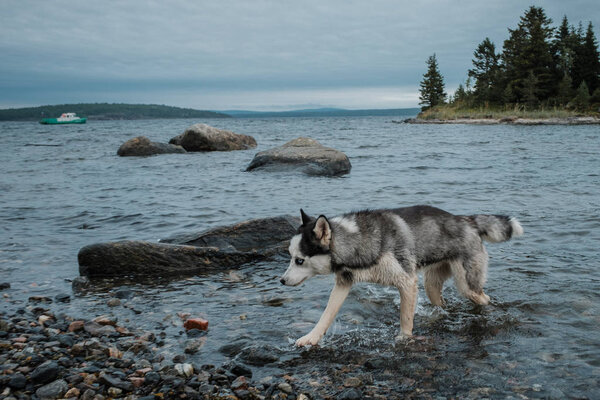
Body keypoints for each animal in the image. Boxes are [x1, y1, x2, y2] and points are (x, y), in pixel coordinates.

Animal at [278, 205, 524, 346]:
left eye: (299, 260)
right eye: (290, 256)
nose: (281, 281)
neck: (358, 240)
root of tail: (466, 220)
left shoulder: (407, 282)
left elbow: (406, 320)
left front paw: (404, 340)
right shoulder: (343, 284)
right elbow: (326, 316)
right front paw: (311, 338)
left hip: (467, 285)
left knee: (484, 298)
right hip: (431, 285)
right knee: (440, 302)